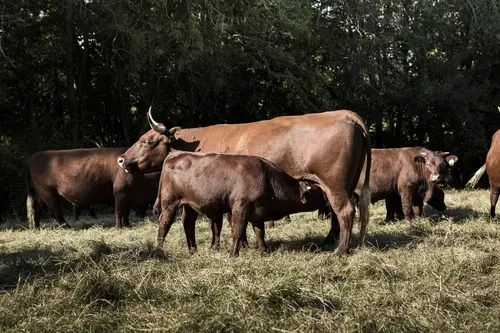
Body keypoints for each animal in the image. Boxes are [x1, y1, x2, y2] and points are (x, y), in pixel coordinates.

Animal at [25, 148, 160, 228]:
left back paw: (37, 227)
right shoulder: (120, 192)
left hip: (42, 194)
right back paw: (68, 227)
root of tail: (32, 157)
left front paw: (127, 225)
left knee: (36, 207)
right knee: (55, 212)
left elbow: (126, 212)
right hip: (48, 193)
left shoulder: (127, 196)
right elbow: (120, 211)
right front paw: (120, 226)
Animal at [157, 152, 328, 255]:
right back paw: (159, 248)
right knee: (164, 223)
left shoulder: (258, 211)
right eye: (319, 192)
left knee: (188, 223)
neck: (267, 179)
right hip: (169, 203)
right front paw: (234, 253)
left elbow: (260, 232)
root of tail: (176, 154)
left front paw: (264, 250)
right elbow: (238, 231)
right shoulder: (240, 207)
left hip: (189, 204)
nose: (328, 197)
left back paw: (193, 249)